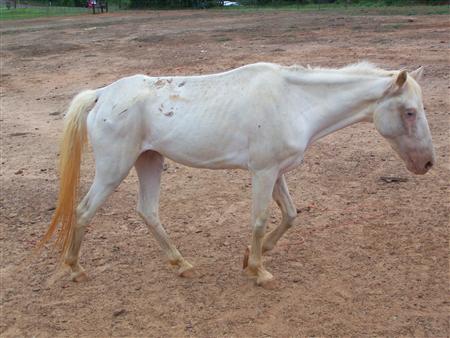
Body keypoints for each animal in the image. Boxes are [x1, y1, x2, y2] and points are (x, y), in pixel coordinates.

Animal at [39, 62, 436, 286]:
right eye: (410, 112)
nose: (427, 164)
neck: (294, 100)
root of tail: (102, 95)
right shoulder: (263, 172)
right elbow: (259, 219)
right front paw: (259, 271)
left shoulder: (277, 172)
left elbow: (290, 215)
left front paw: (251, 256)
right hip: (113, 169)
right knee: (84, 211)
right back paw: (75, 269)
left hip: (149, 160)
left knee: (148, 212)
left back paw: (182, 265)